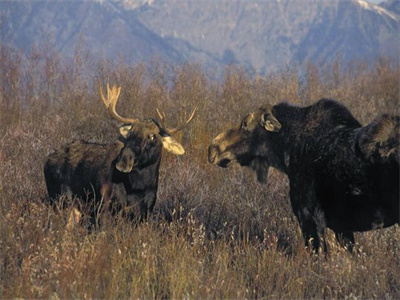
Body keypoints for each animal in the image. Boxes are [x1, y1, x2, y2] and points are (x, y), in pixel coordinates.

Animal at [44, 83, 198, 226]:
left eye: (152, 136)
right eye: (131, 131)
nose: (124, 160)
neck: (139, 186)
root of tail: (46, 161)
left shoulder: (145, 212)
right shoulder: (104, 206)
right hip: (59, 200)